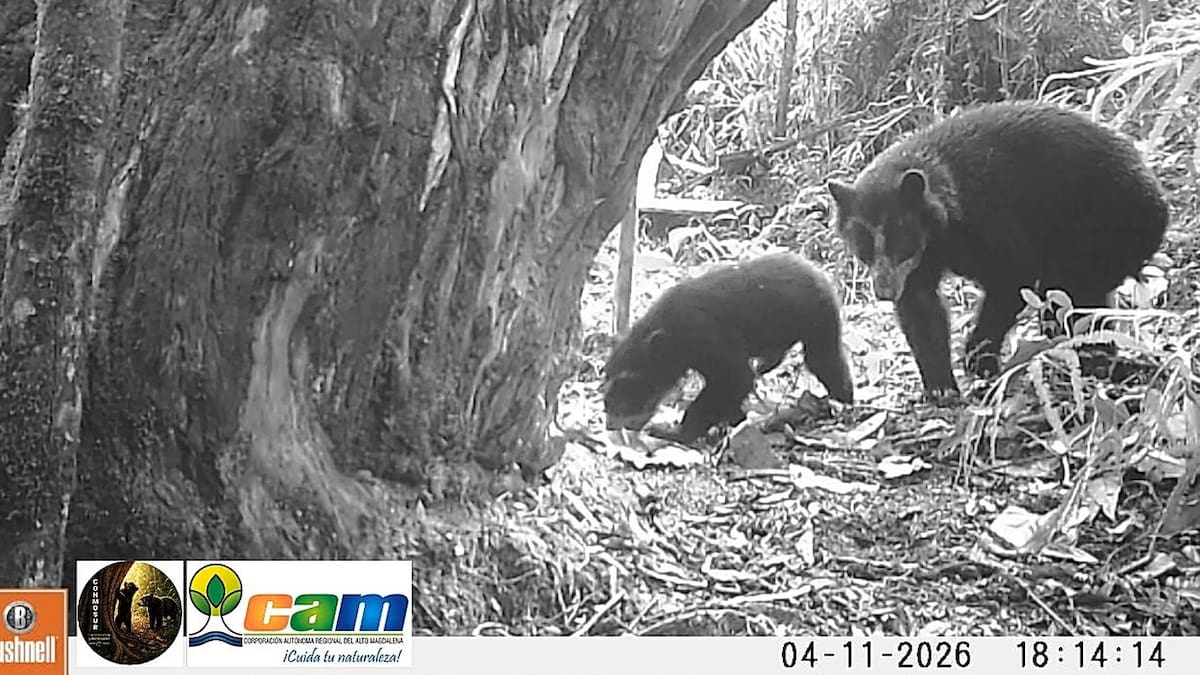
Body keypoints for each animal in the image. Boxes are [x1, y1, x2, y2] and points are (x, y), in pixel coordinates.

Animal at [603, 252, 854, 442]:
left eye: (630, 382)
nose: (610, 425)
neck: (671, 333)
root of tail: (823, 275)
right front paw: (735, 419)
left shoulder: (706, 337)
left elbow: (735, 378)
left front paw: (676, 431)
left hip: (819, 317)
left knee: (824, 359)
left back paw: (844, 402)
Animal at [826, 101, 1168, 398]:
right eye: (863, 249)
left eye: (901, 242)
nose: (884, 290)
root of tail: (1158, 196)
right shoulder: (920, 263)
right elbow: (921, 307)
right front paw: (941, 386)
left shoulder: (988, 219)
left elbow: (1012, 276)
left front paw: (978, 358)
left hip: (1104, 224)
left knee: (1072, 296)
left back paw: (1094, 359)